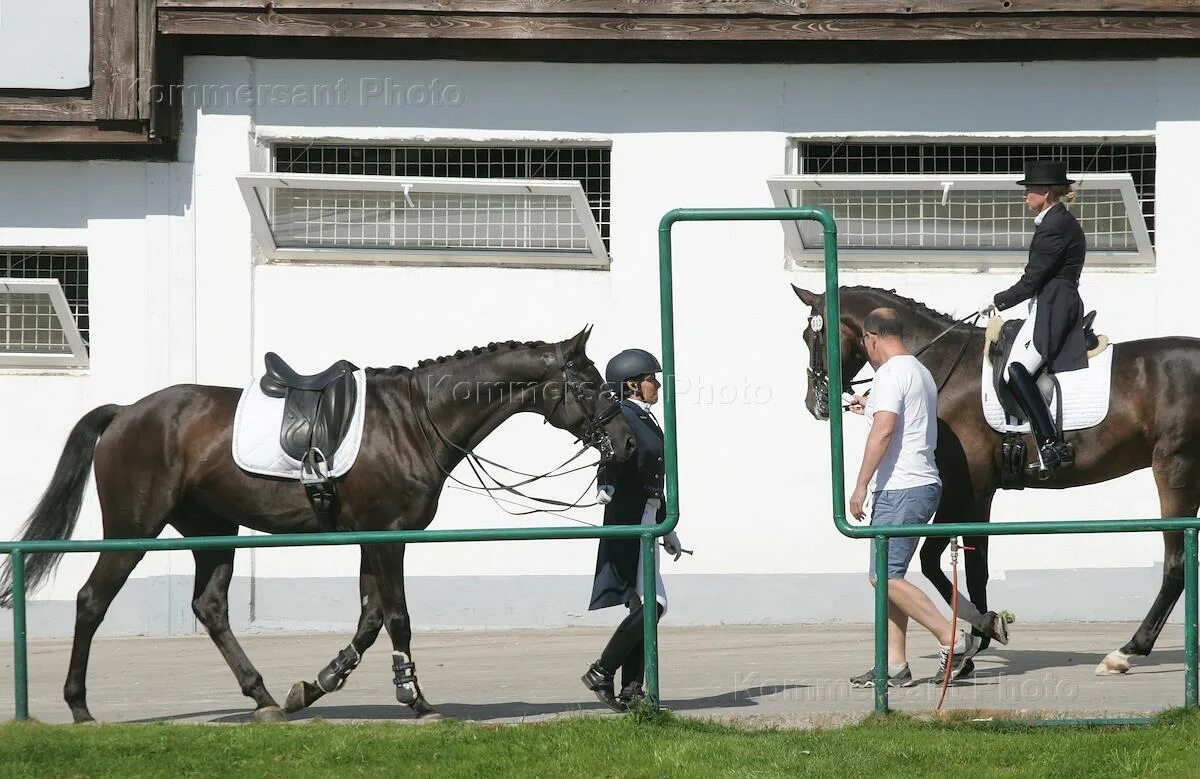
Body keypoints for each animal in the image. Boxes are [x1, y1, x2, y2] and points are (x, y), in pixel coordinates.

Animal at [0, 324, 638, 720]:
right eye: (589, 385)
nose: (630, 443)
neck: (414, 419)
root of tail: (125, 412)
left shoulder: (370, 539)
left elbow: (370, 620)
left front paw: (314, 687)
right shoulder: (388, 537)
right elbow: (397, 617)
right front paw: (417, 698)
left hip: (213, 531)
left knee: (210, 607)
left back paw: (262, 697)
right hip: (134, 529)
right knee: (92, 601)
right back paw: (80, 706)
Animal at [796, 285, 1200, 672]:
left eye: (811, 335)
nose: (815, 404)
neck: (943, 363)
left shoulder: (967, 486)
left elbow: (939, 562)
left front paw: (978, 633)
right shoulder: (979, 491)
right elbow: (975, 567)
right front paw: (977, 639)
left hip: (1176, 466)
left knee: (1176, 563)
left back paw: (1126, 652)